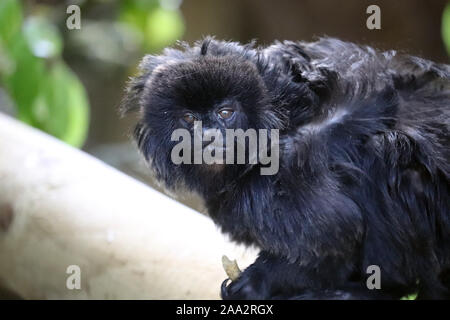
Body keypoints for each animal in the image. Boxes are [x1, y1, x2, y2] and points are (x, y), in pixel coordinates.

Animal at [122, 38, 450, 300]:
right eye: (189, 119)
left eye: (225, 113)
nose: (208, 136)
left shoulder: (277, 181)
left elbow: (338, 231)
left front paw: (256, 283)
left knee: (384, 152)